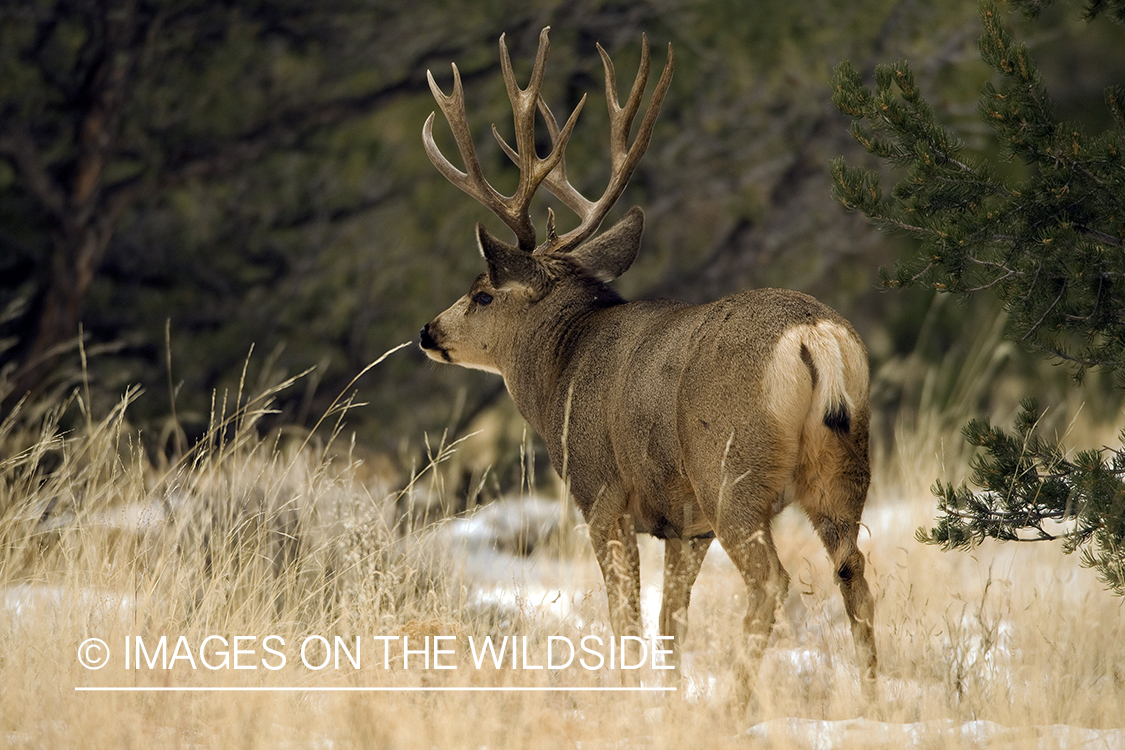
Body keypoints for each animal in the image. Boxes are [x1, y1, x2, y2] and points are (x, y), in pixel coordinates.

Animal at [417, 28, 876, 708]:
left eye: (482, 293)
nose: (428, 332)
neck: (561, 369)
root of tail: (814, 335)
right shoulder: (685, 525)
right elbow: (670, 622)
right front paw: (667, 697)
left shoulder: (601, 494)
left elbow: (627, 618)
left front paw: (632, 694)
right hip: (841, 469)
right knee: (855, 576)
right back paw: (873, 697)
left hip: (732, 472)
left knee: (771, 582)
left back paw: (736, 704)